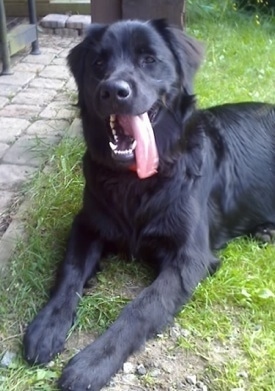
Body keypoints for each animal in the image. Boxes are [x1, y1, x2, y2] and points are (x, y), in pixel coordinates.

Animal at [23, 19, 275, 391]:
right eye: (98, 63)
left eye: (149, 60)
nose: (113, 91)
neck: (136, 180)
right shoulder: (86, 224)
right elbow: (69, 272)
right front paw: (47, 325)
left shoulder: (189, 258)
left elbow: (142, 307)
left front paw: (93, 362)